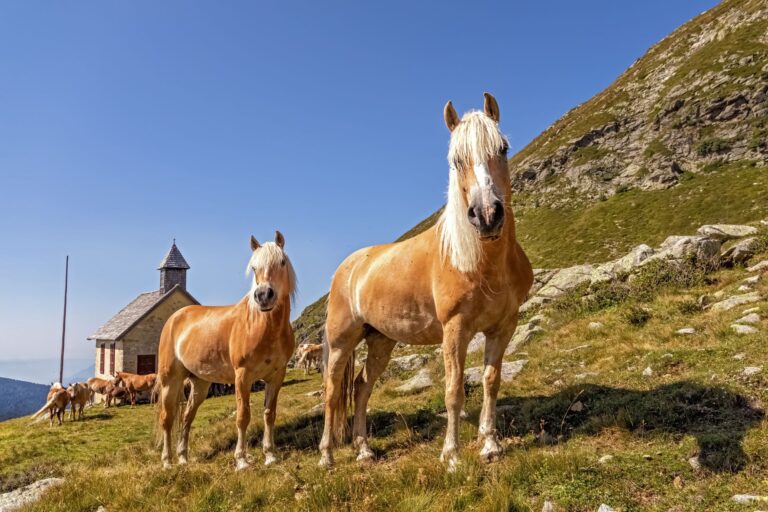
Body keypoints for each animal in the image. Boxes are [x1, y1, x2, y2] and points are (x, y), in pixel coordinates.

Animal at [154, 231, 296, 468]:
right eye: (254, 267)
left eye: (282, 262)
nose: (263, 295)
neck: (262, 328)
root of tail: (174, 317)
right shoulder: (242, 376)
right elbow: (243, 416)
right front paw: (241, 460)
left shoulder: (276, 376)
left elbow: (269, 413)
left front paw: (269, 455)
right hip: (170, 380)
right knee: (167, 418)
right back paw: (167, 462)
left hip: (200, 383)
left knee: (187, 417)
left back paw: (183, 458)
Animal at [316, 92, 528, 468]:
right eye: (456, 159)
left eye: (503, 148)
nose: (487, 215)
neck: (481, 266)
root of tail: (346, 268)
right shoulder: (455, 330)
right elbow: (454, 391)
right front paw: (452, 456)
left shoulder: (503, 327)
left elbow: (491, 381)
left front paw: (490, 445)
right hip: (342, 342)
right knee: (331, 391)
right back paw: (327, 456)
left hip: (381, 341)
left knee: (361, 387)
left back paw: (364, 450)